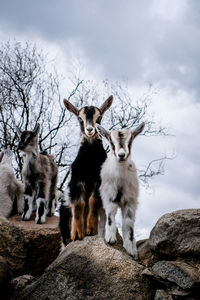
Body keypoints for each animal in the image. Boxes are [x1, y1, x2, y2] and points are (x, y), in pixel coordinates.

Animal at [59, 95, 112, 245]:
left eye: (99, 117)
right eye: (79, 118)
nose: (90, 129)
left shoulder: (99, 182)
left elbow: (93, 202)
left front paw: (91, 230)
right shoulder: (76, 181)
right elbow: (79, 205)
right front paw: (77, 234)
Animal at [96, 123, 145, 256]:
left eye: (130, 140)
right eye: (111, 142)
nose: (121, 155)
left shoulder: (130, 201)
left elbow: (128, 222)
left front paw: (130, 249)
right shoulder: (109, 196)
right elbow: (111, 213)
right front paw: (110, 239)